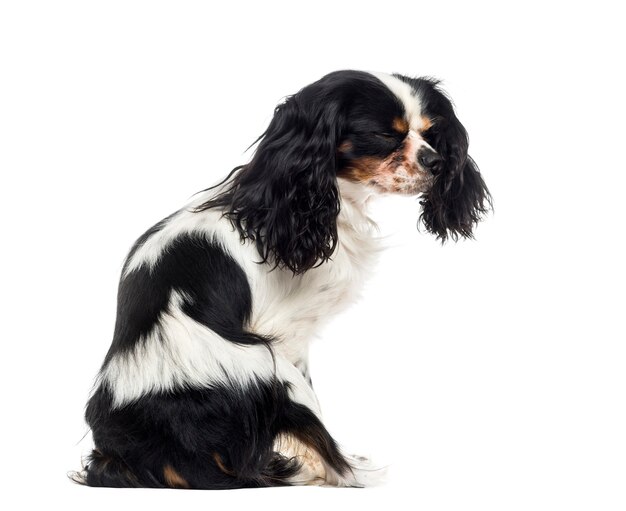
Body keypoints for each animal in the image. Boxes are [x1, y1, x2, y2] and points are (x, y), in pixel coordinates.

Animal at [75, 70, 490, 490]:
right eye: (386, 135)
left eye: (431, 133)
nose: (437, 162)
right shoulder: (287, 334)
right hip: (268, 364)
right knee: (330, 452)